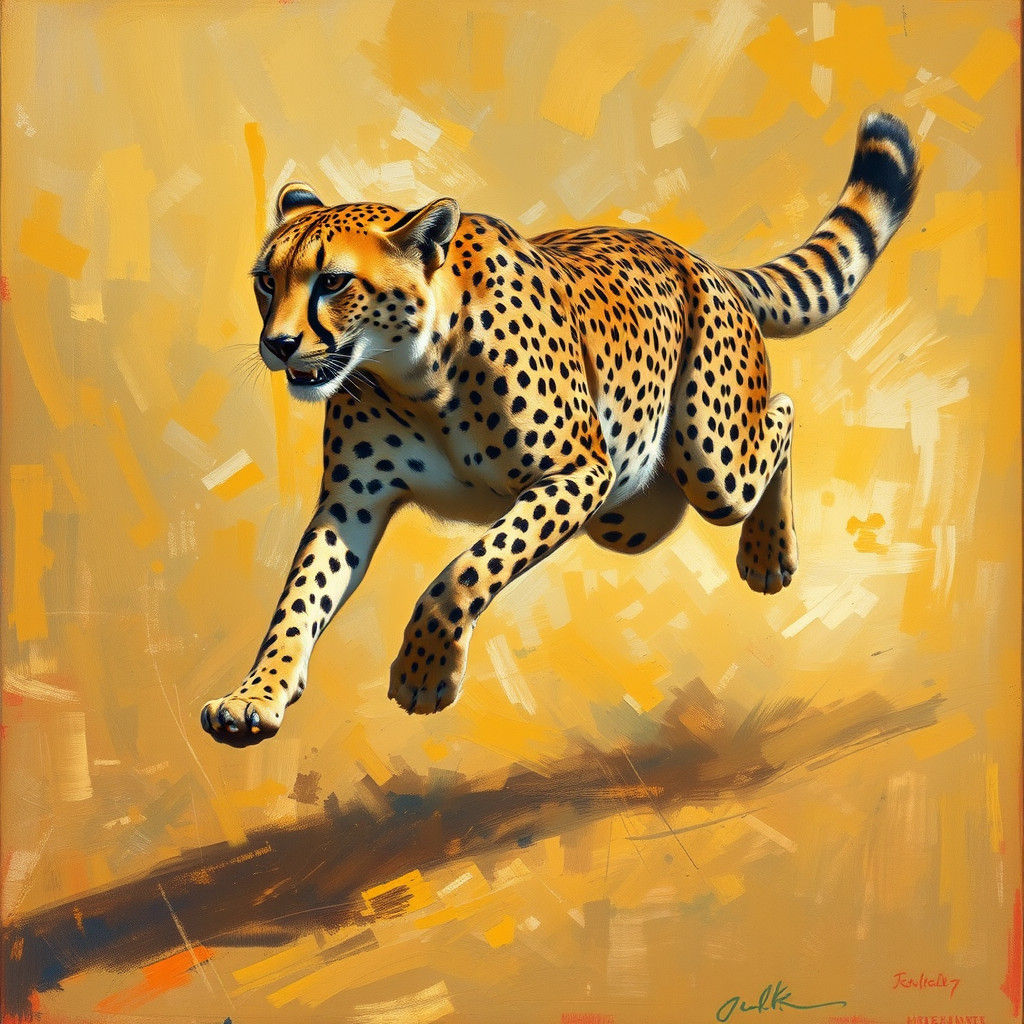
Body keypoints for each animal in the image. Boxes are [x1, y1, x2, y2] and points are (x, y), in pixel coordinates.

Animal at [201, 111, 919, 745]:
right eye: (266, 282)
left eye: (333, 281)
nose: (279, 345)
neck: (411, 372)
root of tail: (696, 259)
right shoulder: (351, 502)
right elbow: (301, 597)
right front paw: (256, 695)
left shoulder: (579, 472)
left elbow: (469, 567)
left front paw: (424, 673)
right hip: (628, 514)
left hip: (711, 461)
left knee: (783, 414)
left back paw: (768, 551)